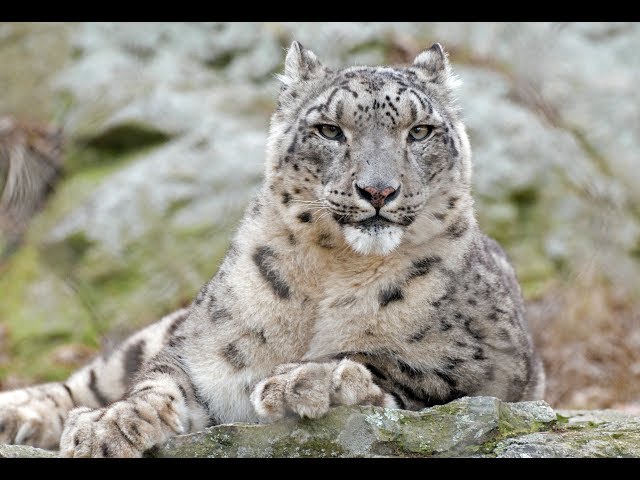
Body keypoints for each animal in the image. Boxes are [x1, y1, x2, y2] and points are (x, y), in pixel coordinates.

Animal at [0, 42, 544, 458]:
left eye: (420, 131)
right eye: (330, 130)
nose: (378, 190)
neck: (334, 269)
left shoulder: (486, 361)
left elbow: (395, 361)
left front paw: (309, 381)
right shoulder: (203, 353)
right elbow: (160, 382)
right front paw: (110, 425)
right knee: (97, 373)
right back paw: (20, 415)